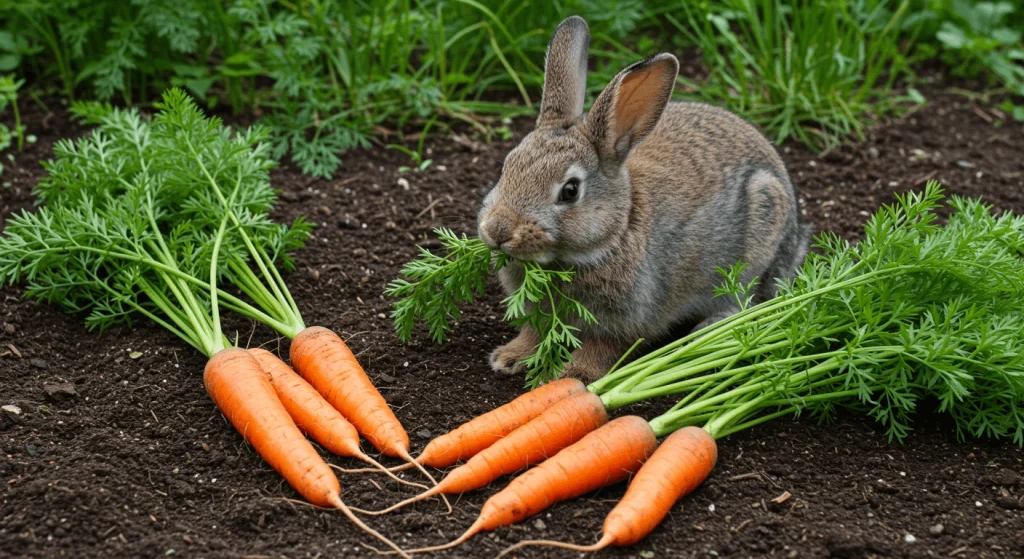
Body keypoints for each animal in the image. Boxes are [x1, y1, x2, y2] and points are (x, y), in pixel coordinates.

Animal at [477, 16, 806, 378]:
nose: (497, 230)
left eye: (570, 191)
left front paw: (575, 375)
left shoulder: (628, 318)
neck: (613, 235)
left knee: (744, 301)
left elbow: (602, 347)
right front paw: (509, 357)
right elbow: (534, 331)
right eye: (506, 166)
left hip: (756, 241)